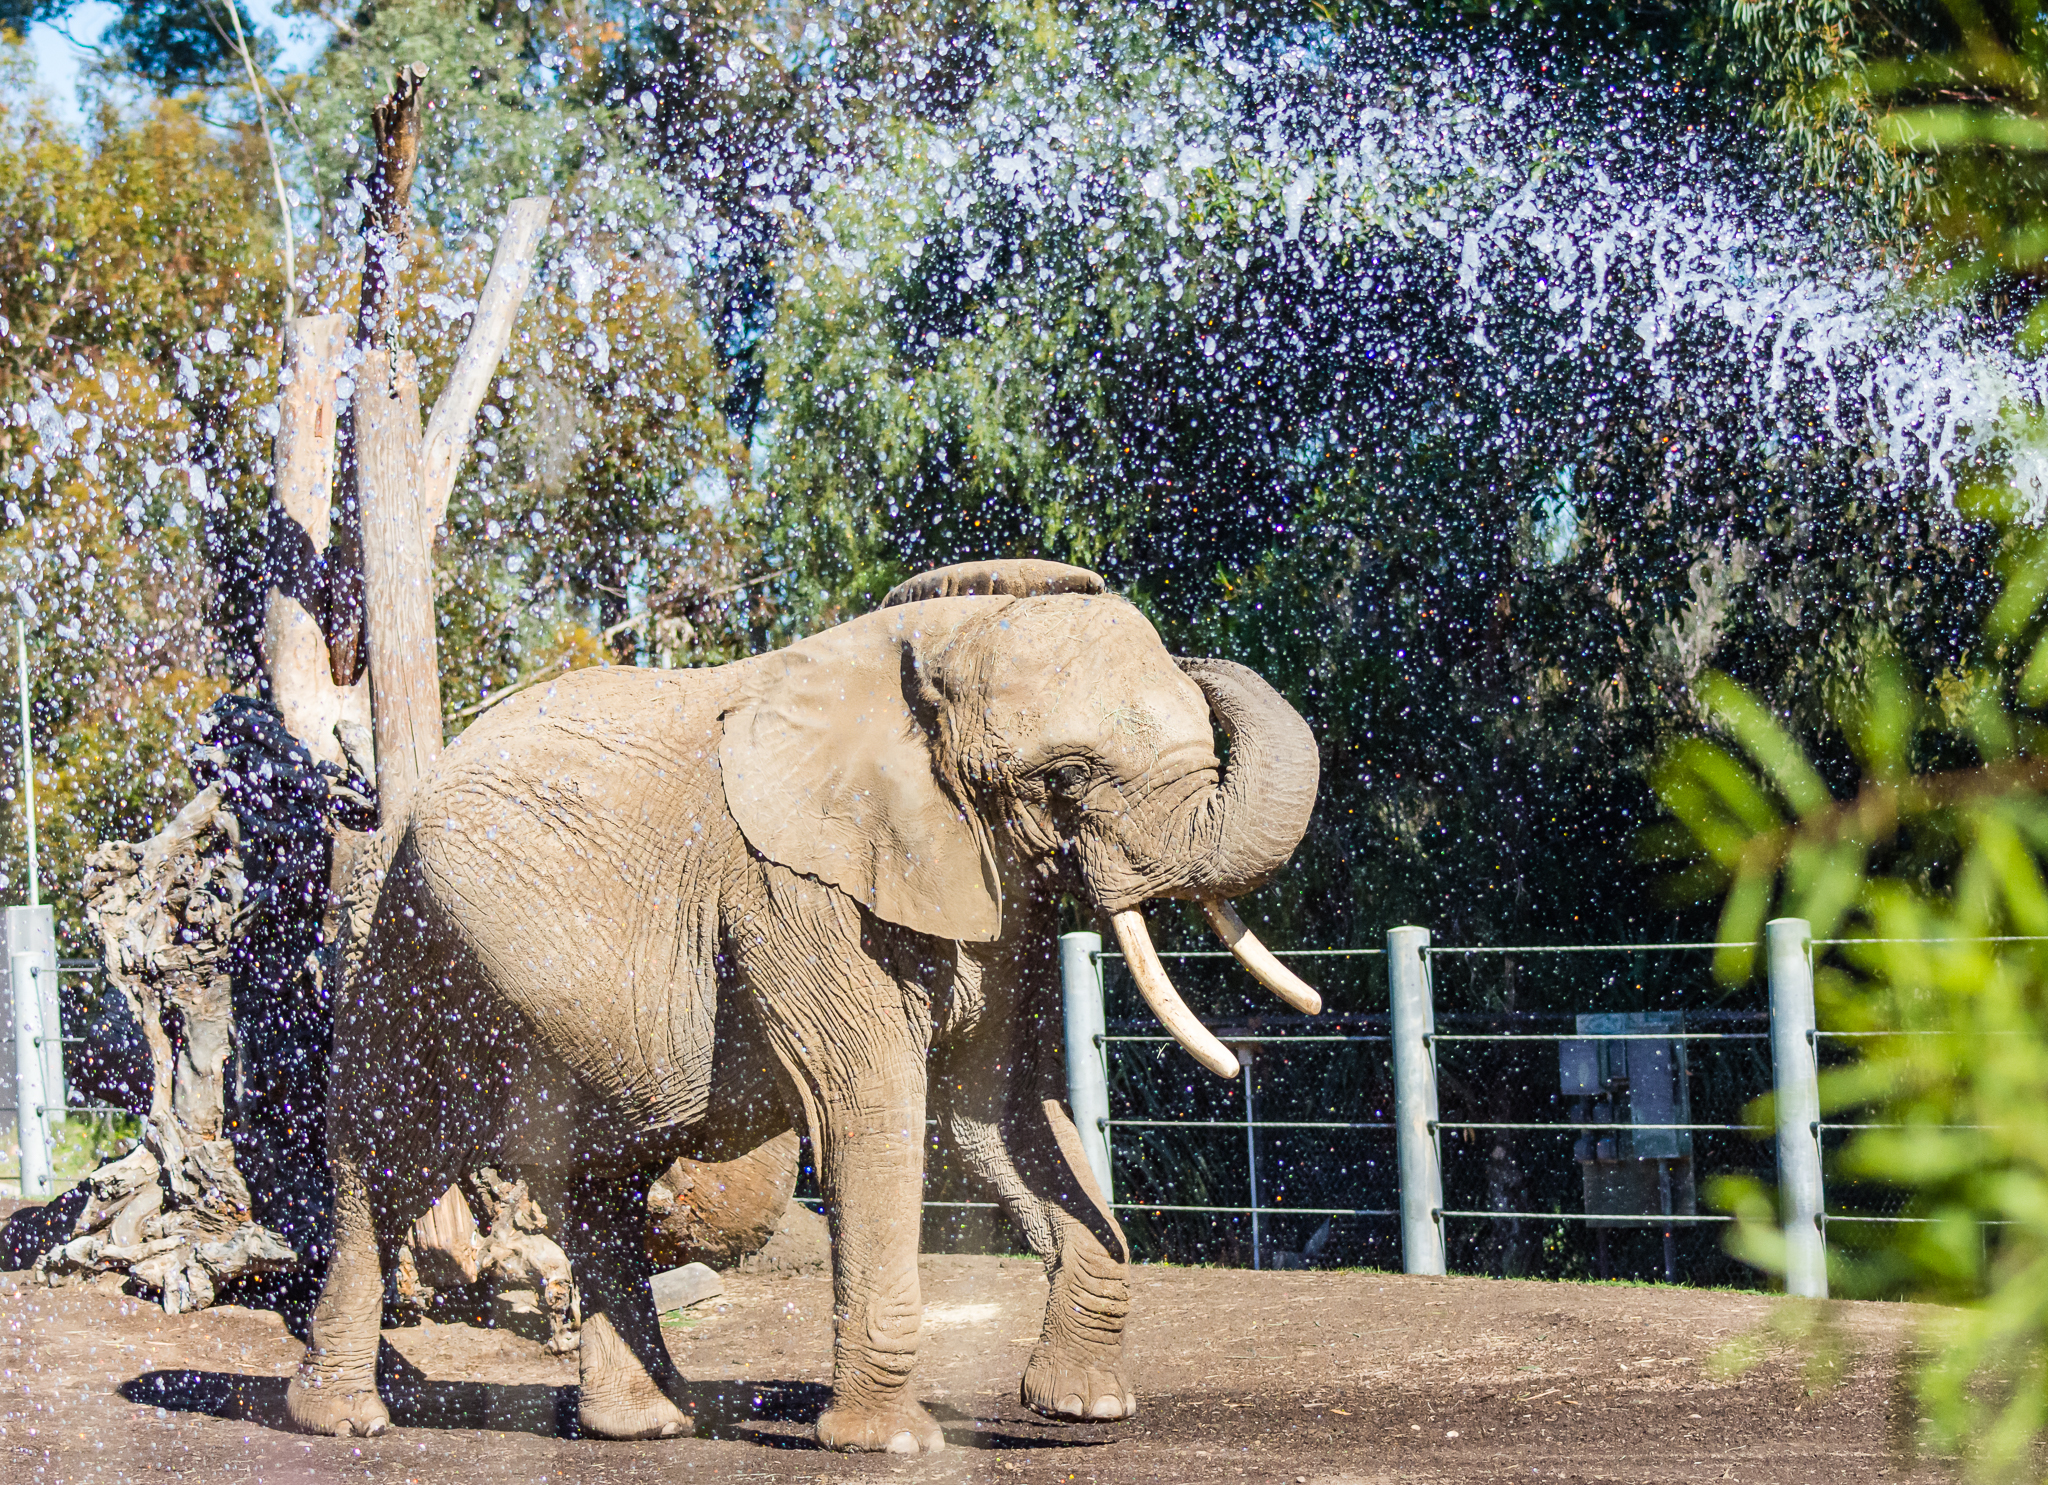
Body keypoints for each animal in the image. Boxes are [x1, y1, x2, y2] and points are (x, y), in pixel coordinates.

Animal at [283, 558, 1322, 1452]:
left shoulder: (987, 896)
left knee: (599, 1174)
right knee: (386, 1159)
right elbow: (875, 1108)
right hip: (403, 944)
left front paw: (1086, 1408)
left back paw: (649, 1425)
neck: (924, 660)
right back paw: (343, 1420)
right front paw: (892, 1443)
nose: (1201, 660)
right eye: (1065, 776)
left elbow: (994, 1112)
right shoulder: (792, 892)